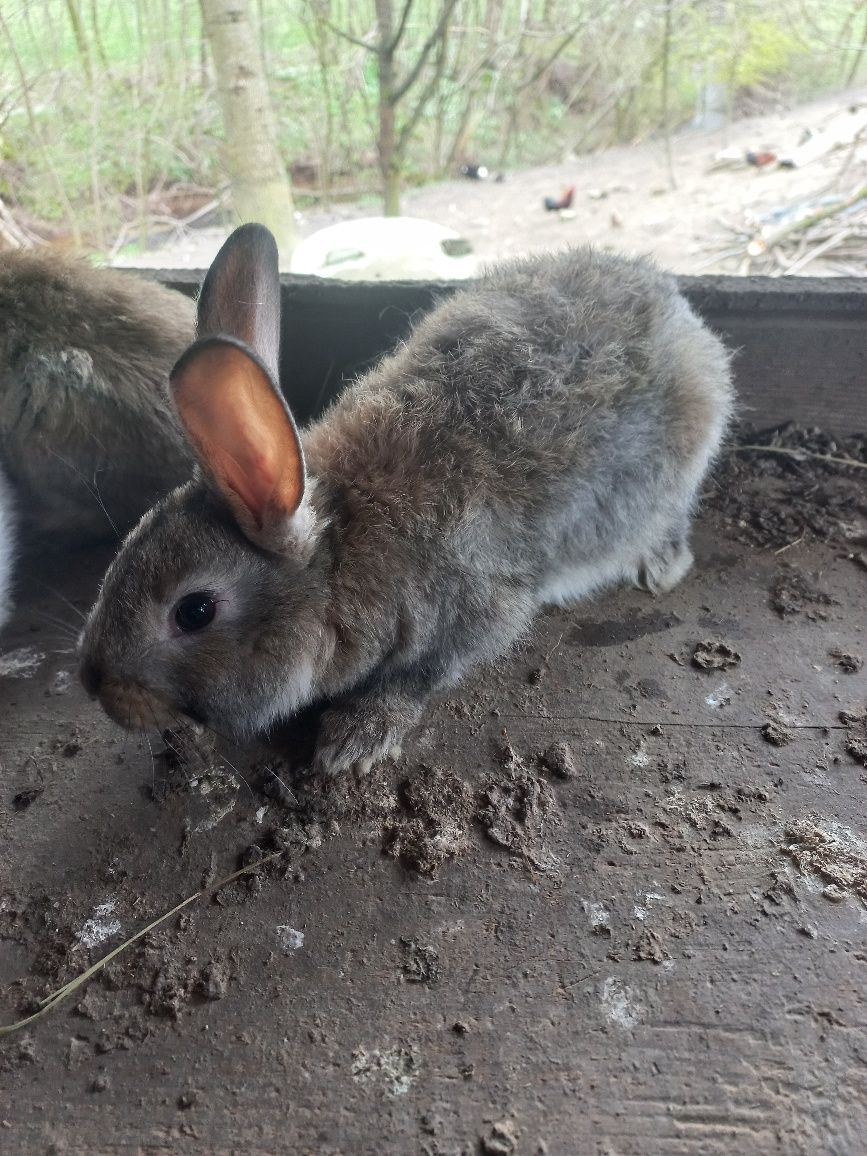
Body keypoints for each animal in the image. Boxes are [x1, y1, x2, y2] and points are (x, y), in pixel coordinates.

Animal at [79, 221, 735, 776]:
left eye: (194, 611)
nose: (95, 685)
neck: (339, 549)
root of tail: (676, 305)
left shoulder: (470, 610)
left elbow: (425, 675)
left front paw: (355, 737)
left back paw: (659, 564)